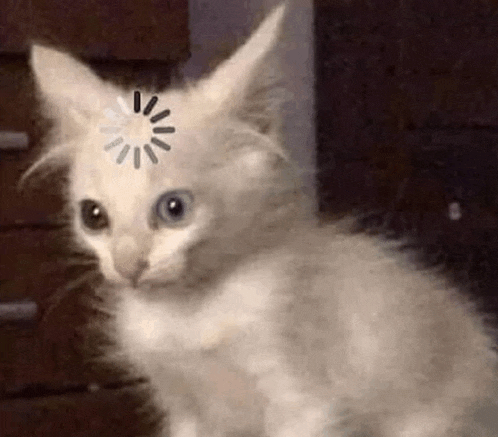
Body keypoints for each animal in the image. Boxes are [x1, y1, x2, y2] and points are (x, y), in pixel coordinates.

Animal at [24, 3, 498, 436]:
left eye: (174, 208)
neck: (189, 313)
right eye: (94, 216)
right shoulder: (187, 411)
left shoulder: (304, 401)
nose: (128, 266)